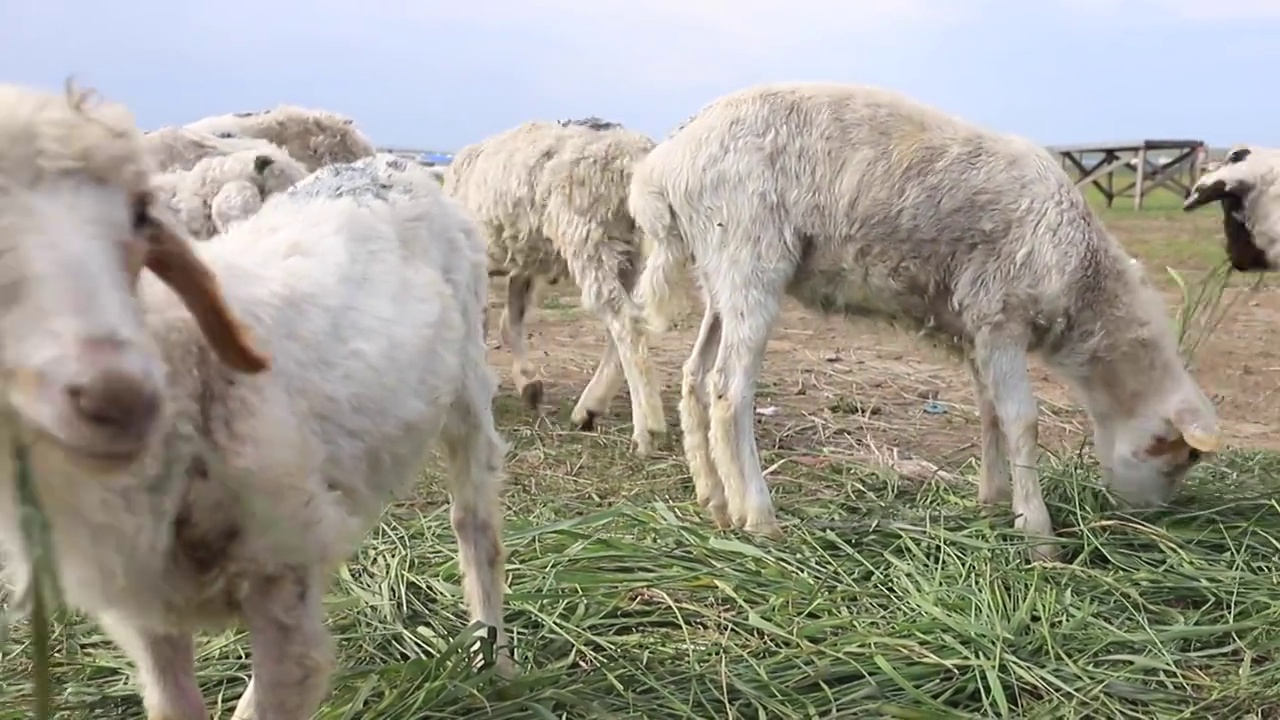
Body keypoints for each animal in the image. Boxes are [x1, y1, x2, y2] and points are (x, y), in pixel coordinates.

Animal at [442, 117, 665, 453]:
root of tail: (635, 156)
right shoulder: (522, 261)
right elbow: (510, 322)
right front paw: (529, 384)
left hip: (587, 233)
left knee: (624, 322)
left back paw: (645, 429)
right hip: (629, 248)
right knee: (627, 320)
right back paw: (589, 408)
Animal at [634, 82, 1223, 556]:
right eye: (1174, 459)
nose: (1148, 520)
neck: (1084, 280)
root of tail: (663, 165)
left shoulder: (977, 325)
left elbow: (989, 412)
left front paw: (993, 500)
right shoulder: (1002, 314)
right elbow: (1022, 421)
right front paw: (1039, 534)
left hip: (719, 273)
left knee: (694, 375)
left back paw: (714, 499)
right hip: (750, 253)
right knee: (729, 389)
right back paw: (758, 516)